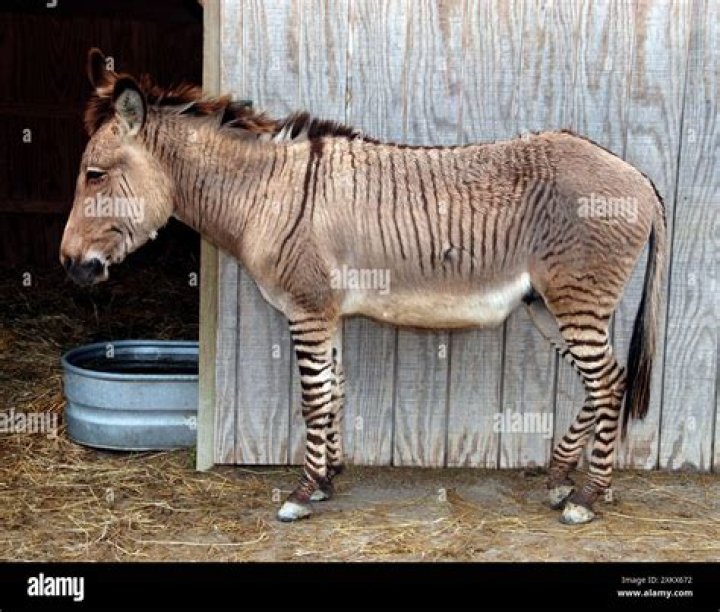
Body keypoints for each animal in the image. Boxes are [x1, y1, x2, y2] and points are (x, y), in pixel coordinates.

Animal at [61, 49, 666, 525]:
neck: (267, 193)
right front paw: (328, 478)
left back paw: (590, 496)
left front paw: (302, 493)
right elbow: (334, 390)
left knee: (608, 383)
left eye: (94, 175)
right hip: (548, 305)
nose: (71, 266)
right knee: (606, 382)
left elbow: (313, 398)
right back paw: (562, 478)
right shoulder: (326, 313)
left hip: (577, 298)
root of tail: (639, 177)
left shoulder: (306, 309)